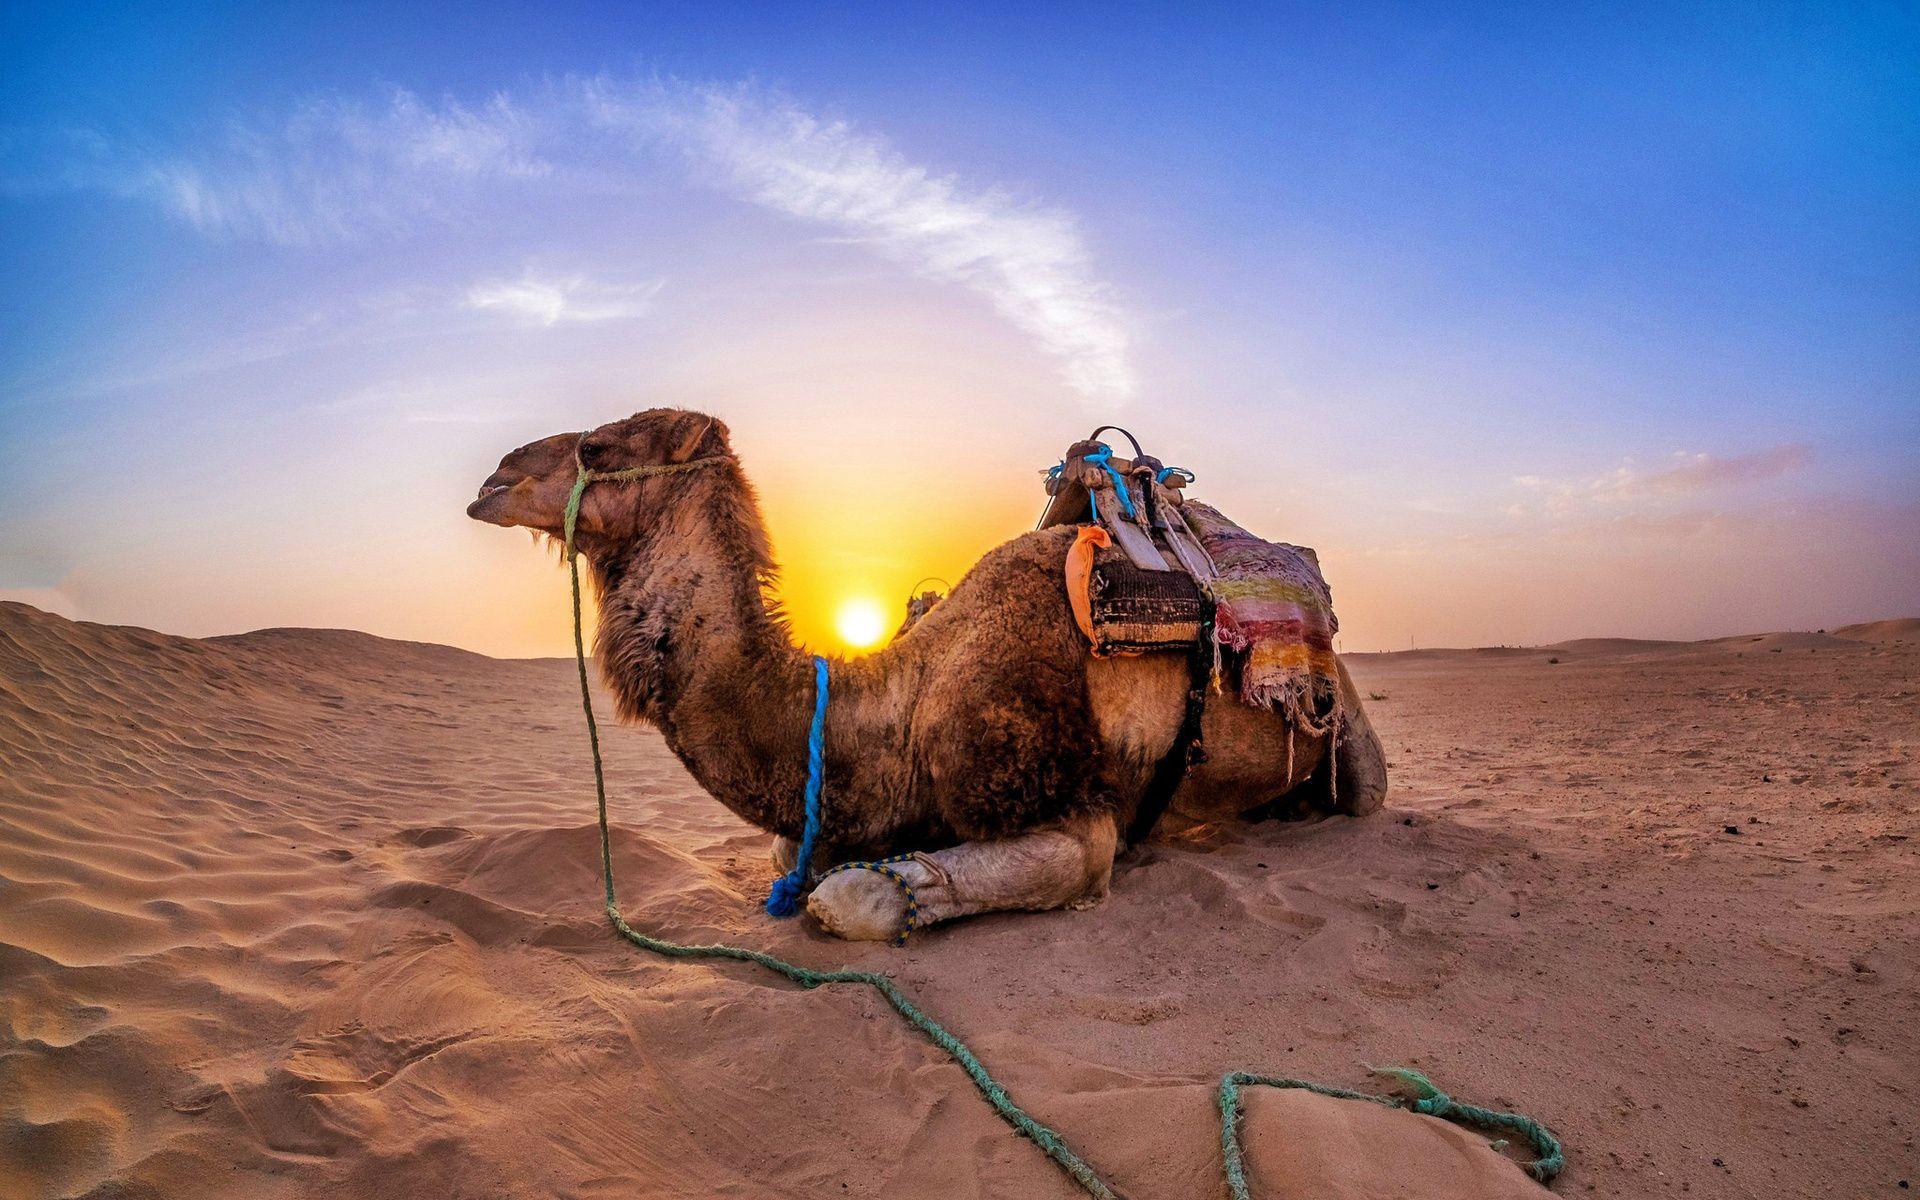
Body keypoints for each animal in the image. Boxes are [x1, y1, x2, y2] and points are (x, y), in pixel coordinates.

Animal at [468, 408, 1387, 941]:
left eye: (594, 448)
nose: (492, 480)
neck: (894, 714)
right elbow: (788, 853)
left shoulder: (1072, 809)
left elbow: (850, 897)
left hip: (1351, 741)